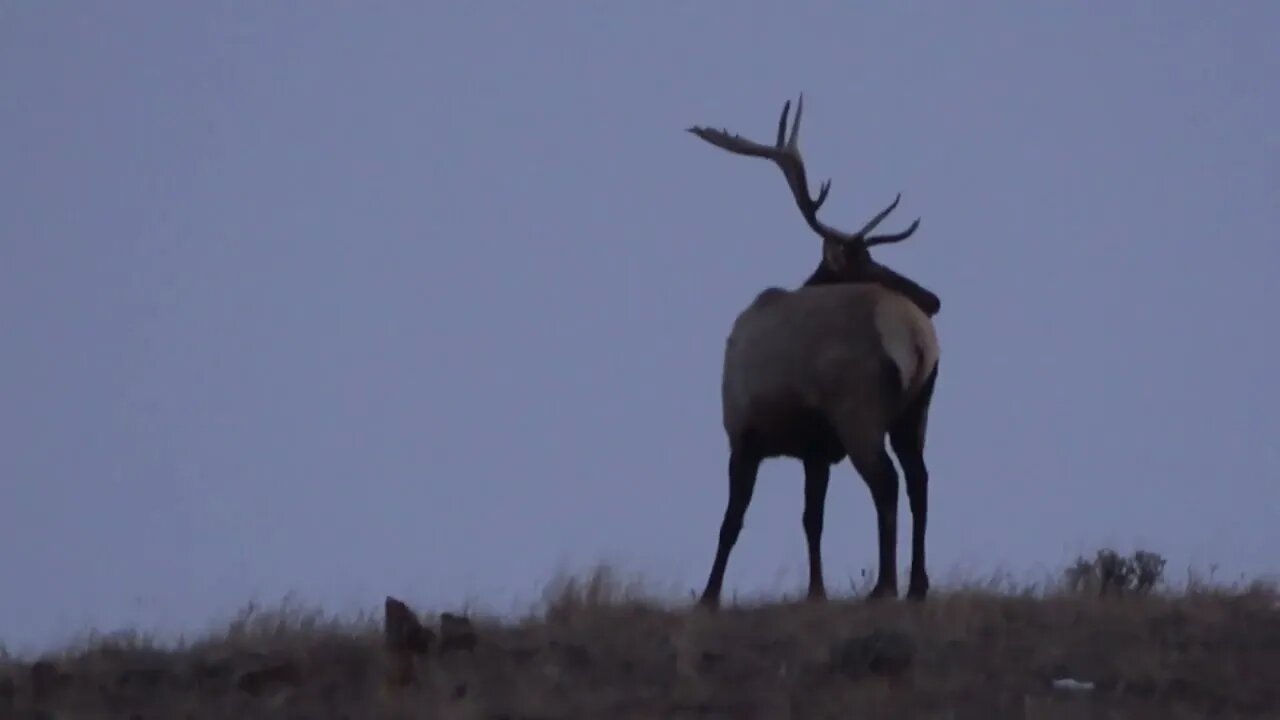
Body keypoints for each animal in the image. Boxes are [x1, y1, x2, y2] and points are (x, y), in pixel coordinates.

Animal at [691, 95, 942, 604]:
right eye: (868, 262)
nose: (934, 300)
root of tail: (916, 338)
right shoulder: (815, 448)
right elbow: (812, 520)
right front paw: (815, 592)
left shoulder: (742, 431)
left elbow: (731, 522)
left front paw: (708, 597)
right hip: (916, 411)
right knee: (919, 481)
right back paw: (917, 586)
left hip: (859, 410)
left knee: (886, 483)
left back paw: (885, 587)